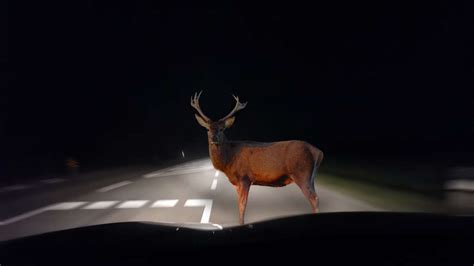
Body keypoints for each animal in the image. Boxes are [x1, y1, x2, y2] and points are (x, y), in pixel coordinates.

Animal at [191, 90, 324, 223]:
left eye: (222, 129)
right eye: (208, 129)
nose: (213, 138)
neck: (229, 158)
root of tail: (318, 152)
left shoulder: (245, 177)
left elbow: (242, 206)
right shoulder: (237, 183)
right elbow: (239, 205)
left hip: (301, 173)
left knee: (314, 198)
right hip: (310, 177)